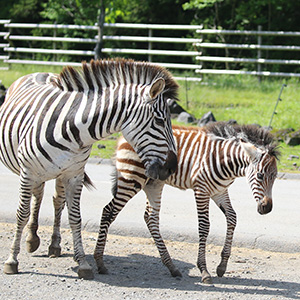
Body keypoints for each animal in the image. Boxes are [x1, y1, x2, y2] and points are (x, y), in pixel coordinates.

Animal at [0, 58, 178, 278]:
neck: (71, 128)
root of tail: (40, 73)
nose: (172, 167)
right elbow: (21, 214)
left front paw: (83, 263)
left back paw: (50, 244)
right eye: (160, 121)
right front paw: (11, 260)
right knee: (37, 196)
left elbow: (75, 217)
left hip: (58, 172)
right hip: (34, 171)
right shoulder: (27, 172)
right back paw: (32, 238)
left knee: (55, 200)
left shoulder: (74, 175)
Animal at [95, 122, 280, 284]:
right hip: (132, 178)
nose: (267, 208)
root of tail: (124, 136)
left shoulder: (219, 191)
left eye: (275, 177)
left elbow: (232, 218)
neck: (224, 160)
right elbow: (204, 226)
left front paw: (222, 266)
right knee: (108, 211)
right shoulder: (201, 190)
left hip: (154, 183)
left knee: (151, 218)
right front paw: (204, 271)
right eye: (260, 176)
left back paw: (171, 267)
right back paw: (100, 262)